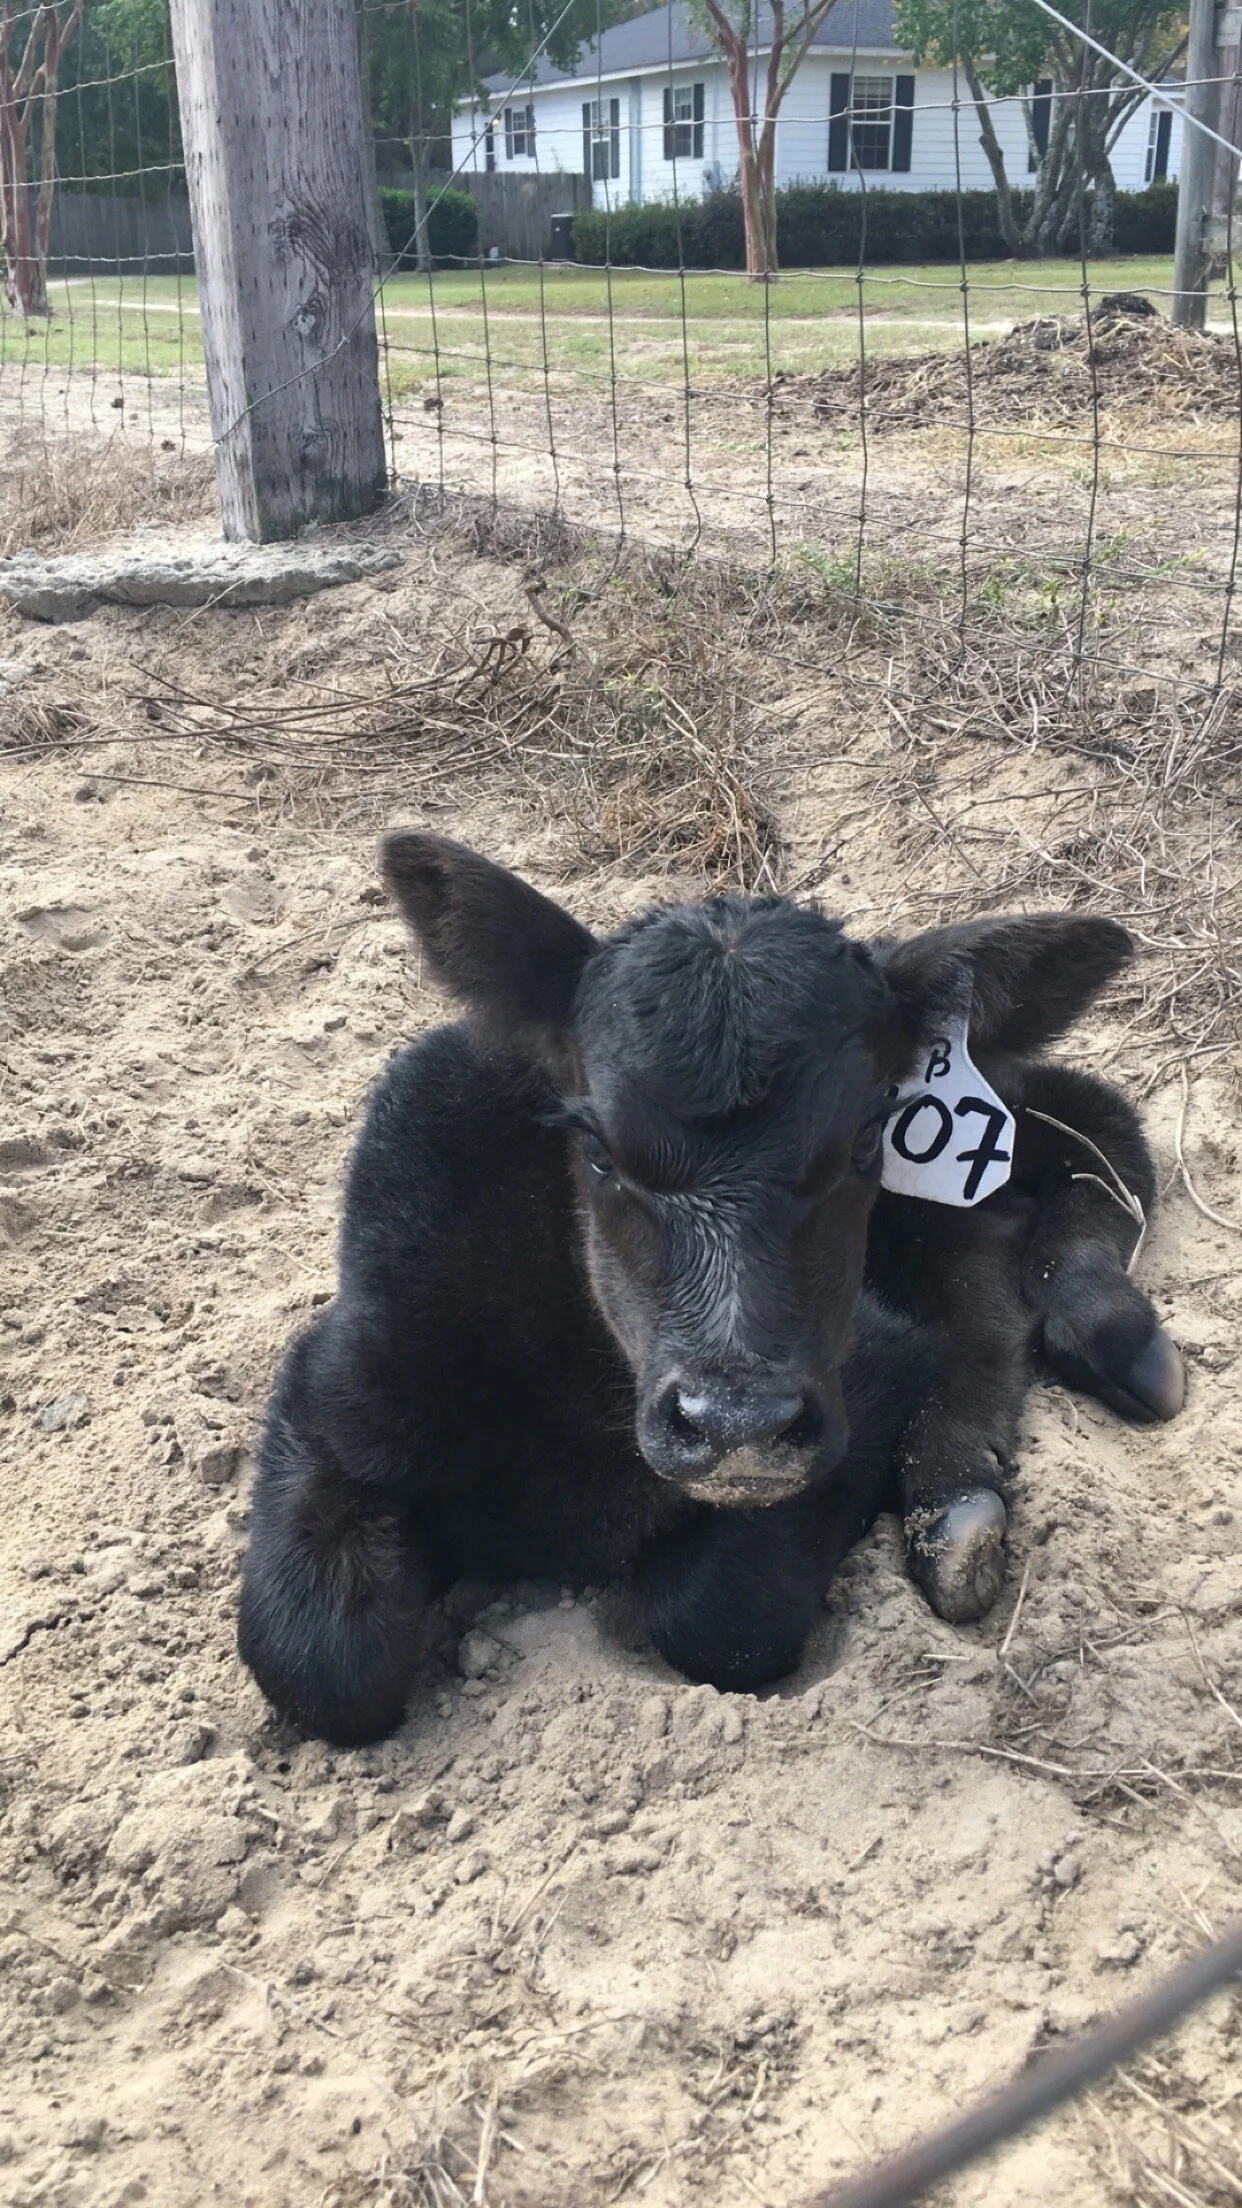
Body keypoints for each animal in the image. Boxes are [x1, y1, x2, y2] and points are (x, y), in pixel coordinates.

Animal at [238, 834, 1184, 1746]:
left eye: (864, 1142)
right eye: (598, 1149)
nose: (738, 1428)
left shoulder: (866, 1370)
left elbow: (714, 1619)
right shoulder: (338, 1385)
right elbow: (320, 1661)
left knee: (1077, 1120)